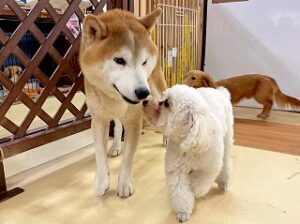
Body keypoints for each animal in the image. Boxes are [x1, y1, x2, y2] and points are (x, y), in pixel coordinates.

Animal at [79, 9, 166, 198]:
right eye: (119, 60)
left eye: (144, 61)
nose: (143, 92)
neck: (114, 97)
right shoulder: (99, 119)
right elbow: (99, 152)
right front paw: (102, 180)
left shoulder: (134, 121)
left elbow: (128, 158)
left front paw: (124, 184)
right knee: (118, 125)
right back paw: (116, 146)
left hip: (158, 91)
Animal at [143, 84, 234, 222]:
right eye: (163, 96)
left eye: (167, 103)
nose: (145, 101)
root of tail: (220, 92)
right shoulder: (177, 170)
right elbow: (181, 192)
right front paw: (183, 212)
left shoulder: (209, 169)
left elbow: (199, 184)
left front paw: (194, 188)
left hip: (227, 140)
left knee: (226, 162)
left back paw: (223, 182)